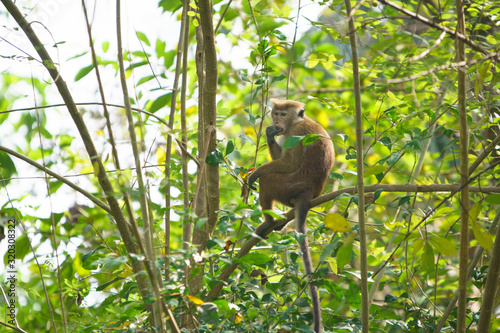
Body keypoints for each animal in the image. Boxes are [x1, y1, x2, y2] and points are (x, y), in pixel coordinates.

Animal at [248, 97, 334, 330]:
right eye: (275, 113)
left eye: (283, 114)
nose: (276, 120)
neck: (298, 120)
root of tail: (309, 190)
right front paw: (269, 133)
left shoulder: (297, 131)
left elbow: (289, 163)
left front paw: (255, 172)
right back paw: (279, 222)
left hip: (286, 186)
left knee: (268, 180)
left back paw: (269, 221)